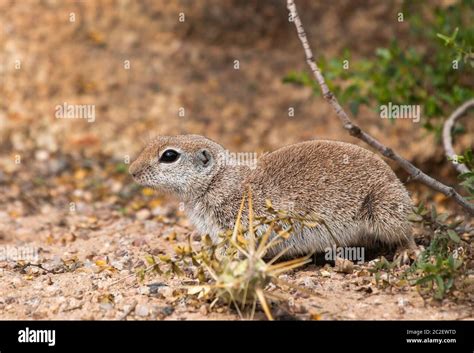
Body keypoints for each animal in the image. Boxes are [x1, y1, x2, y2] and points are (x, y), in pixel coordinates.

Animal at [131, 133, 414, 258]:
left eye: (169, 155)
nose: (132, 171)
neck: (216, 181)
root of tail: (394, 177)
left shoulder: (242, 223)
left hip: (384, 210)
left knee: (407, 233)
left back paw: (406, 252)